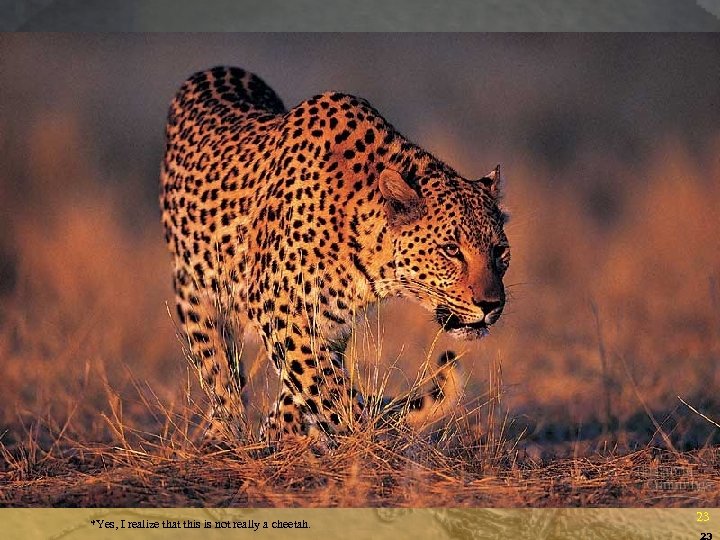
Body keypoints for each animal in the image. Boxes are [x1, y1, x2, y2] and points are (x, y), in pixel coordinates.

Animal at [160, 66, 510, 445]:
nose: (492, 305)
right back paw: (224, 433)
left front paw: (281, 435)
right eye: (451, 250)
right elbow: (332, 395)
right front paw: (370, 445)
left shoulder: (331, 326)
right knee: (219, 369)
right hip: (194, 294)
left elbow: (310, 387)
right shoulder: (282, 311)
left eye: (500, 251)